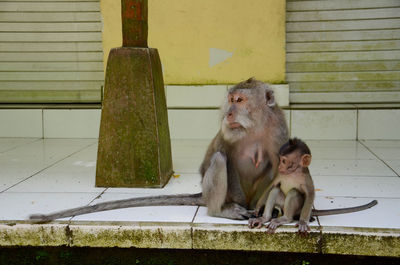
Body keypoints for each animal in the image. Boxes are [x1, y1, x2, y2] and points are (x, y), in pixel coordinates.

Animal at [30, 77, 288, 222]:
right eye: (231, 100)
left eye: (240, 101)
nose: (229, 113)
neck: (254, 128)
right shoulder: (226, 133)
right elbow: (217, 159)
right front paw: (236, 206)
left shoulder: (278, 129)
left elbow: (280, 166)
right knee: (218, 158)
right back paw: (220, 210)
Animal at [250, 137, 378, 234]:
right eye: (280, 159)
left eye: (284, 161)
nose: (280, 166)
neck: (293, 173)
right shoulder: (280, 175)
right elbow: (272, 185)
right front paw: (258, 208)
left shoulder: (305, 179)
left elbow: (310, 194)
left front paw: (303, 222)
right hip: (282, 205)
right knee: (275, 190)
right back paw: (264, 218)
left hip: (298, 209)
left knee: (294, 192)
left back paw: (286, 218)